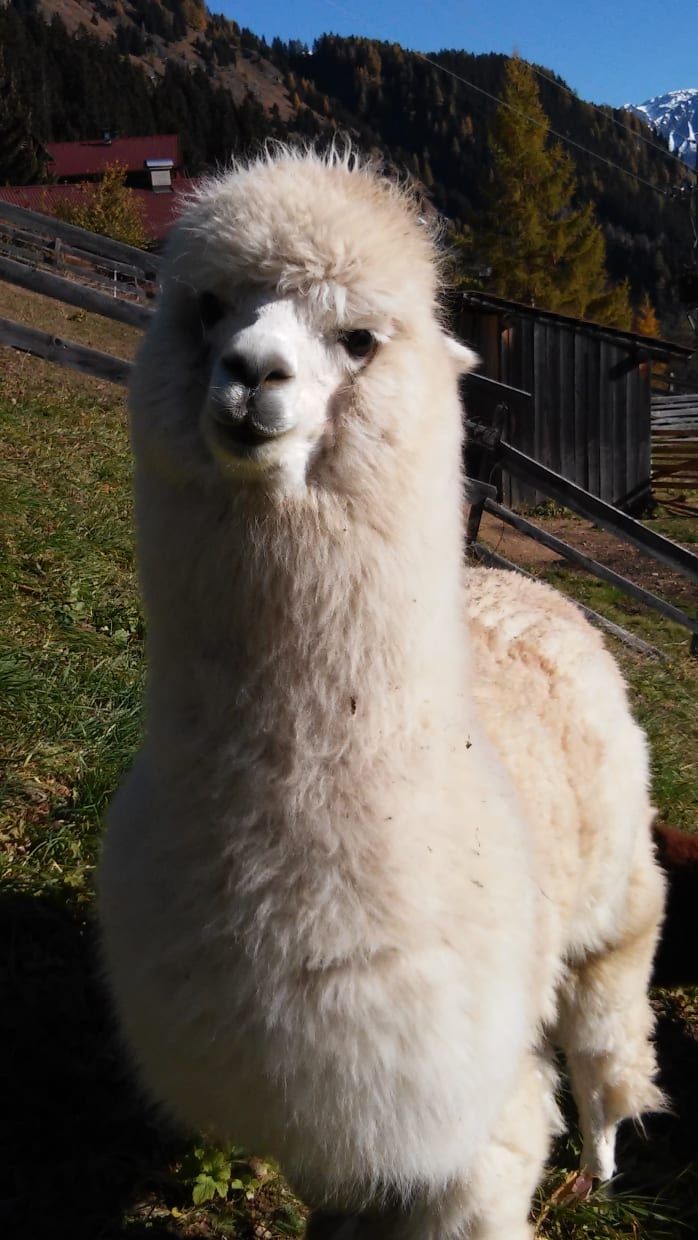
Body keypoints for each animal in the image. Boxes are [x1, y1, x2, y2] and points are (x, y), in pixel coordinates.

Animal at [97, 146, 666, 1239]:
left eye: (357, 337)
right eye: (208, 307)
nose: (251, 375)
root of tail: (526, 588)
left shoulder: (470, 1129)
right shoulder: (334, 1131)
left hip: (619, 892)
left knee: (606, 1033)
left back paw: (603, 1166)